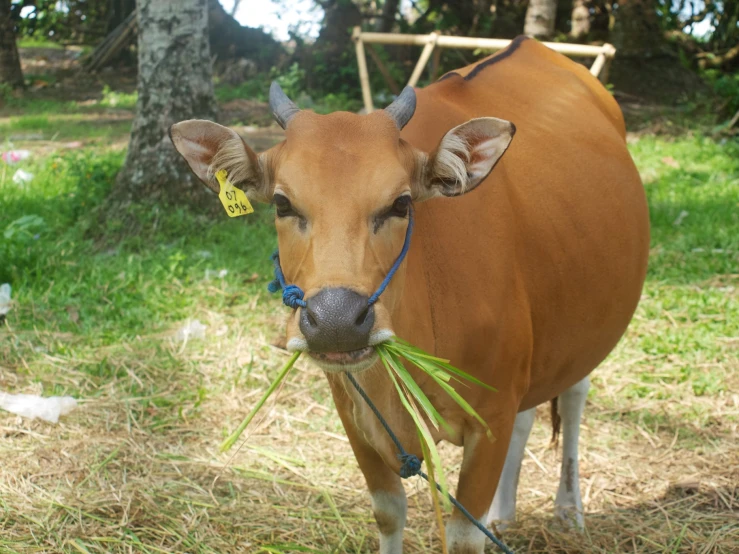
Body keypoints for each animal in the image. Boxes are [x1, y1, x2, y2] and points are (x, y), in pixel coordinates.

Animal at [172, 35, 648, 552]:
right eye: (282, 203)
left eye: (401, 203)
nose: (336, 320)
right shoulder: (355, 415)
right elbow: (388, 513)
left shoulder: (492, 417)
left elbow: (464, 535)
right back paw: (505, 512)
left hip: (588, 327)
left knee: (575, 393)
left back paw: (568, 508)